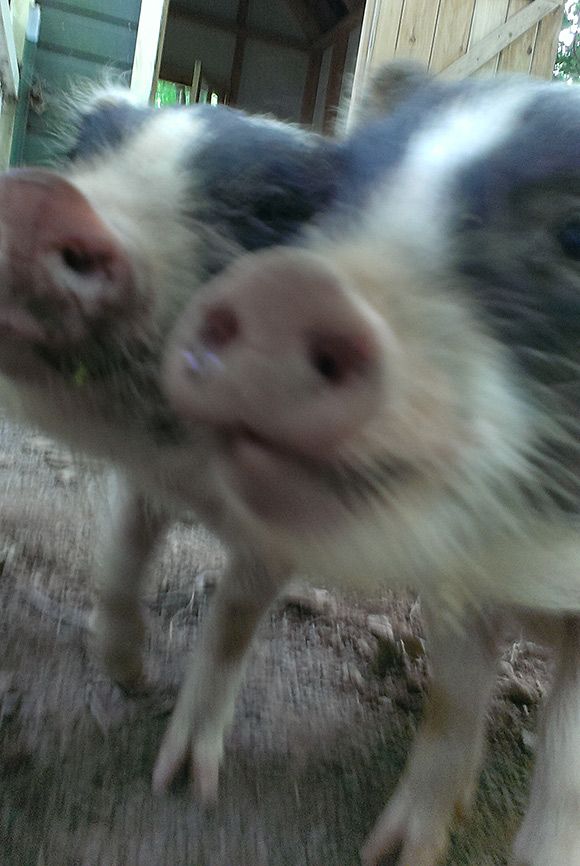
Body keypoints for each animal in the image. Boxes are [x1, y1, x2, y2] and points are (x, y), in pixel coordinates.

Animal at [0, 93, 340, 796]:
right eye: (83, 152)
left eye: (268, 210)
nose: (39, 200)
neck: (193, 474)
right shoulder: (142, 478)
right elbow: (118, 559)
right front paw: (130, 678)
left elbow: (233, 622)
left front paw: (183, 783)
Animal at [163, 69, 580, 864]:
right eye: (338, 195)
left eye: (573, 238)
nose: (290, 286)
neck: (528, 568)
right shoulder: (455, 587)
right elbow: (452, 699)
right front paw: (392, 853)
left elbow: (567, 764)